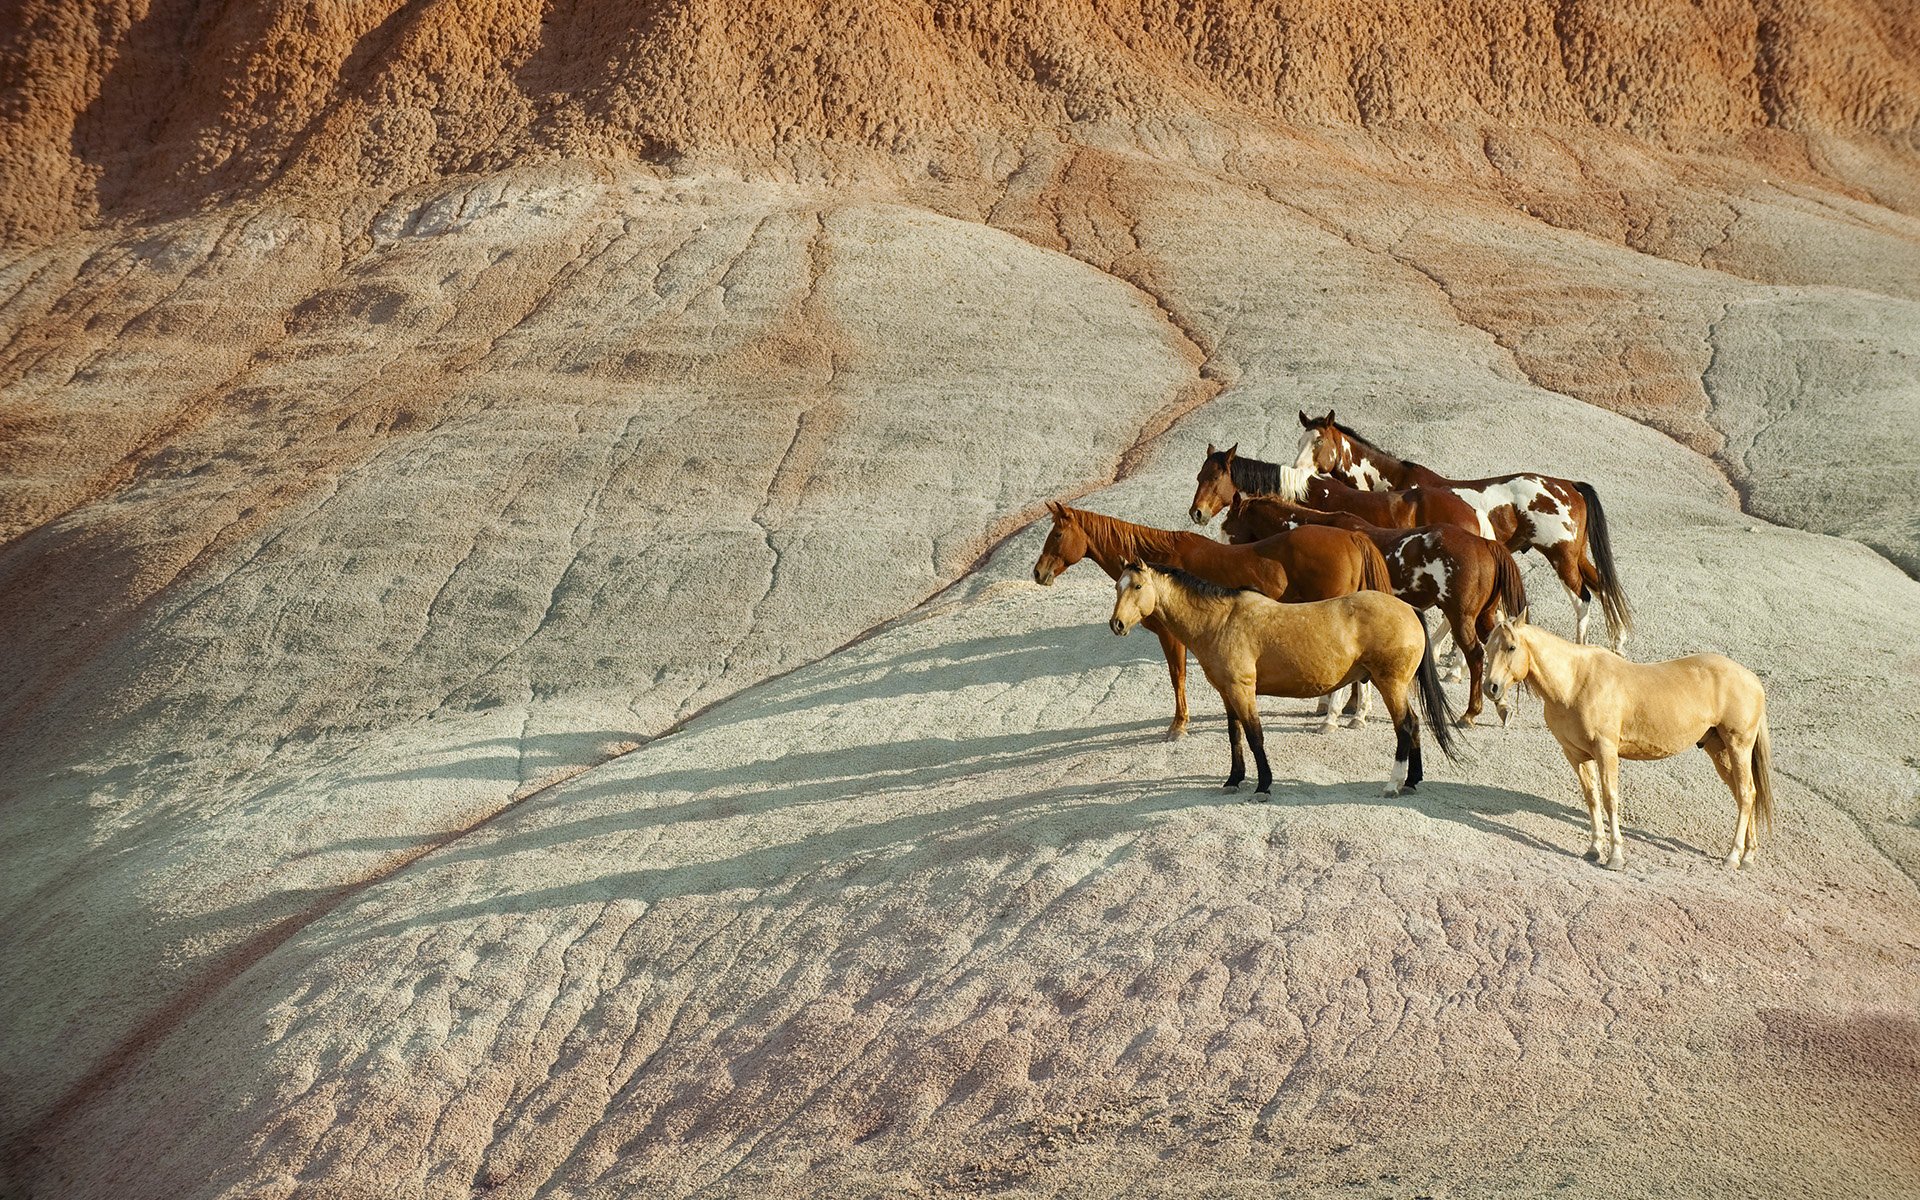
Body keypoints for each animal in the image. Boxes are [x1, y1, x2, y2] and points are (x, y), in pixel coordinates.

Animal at [1031, 502, 1392, 736]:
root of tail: (1351, 537)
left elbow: (1177, 676)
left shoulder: (1172, 636)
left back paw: (1332, 718)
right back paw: (1355, 714)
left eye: (1057, 535)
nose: (1038, 572)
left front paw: (1178, 725)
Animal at [1107, 563, 1459, 796]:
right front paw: (1234, 779)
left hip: (1391, 684)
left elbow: (1254, 736)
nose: (1117, 624)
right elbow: (1235, 736)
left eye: (1137, 587)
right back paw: (1412, 780)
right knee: (1414, 724)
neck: (1221, 620)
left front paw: (1263, 784)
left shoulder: (1243, 691)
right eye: (1116, 587)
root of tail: (1409, 610)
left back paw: (1393, 783)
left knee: (1405, 727)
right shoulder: (1227, 693)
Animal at [1222, 494, 1529, 726]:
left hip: (1461, 616)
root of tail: (1486, 544)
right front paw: (1350, 706)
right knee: (1499, 643)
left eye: (1229, 530)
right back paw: (1499, 702)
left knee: (1475, 655)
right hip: (1483, 617)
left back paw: (1470, 711)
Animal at [1291, 412, 1632, 649]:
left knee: (1583, 598)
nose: (1297, 470)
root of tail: (1569, 485)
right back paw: (1618, 643)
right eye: (1300, 441)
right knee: (1603, 587)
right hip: (1576, 555)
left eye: (1319, 441)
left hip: (1561, 557)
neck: (1397, 486)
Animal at [1480, 611, 1773, 869]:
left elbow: (1610, 798)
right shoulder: (1576, 755)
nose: (1490, 688)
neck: (1575, 682)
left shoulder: (1606, 750)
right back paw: (1748, 856)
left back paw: (1733, 857)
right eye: (1487, 646)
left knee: (1746, 794)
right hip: (1719, 750)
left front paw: (1615, 857)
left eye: (1511, 647)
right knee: (1746, 794)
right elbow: (1592, 798)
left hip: (1738, 746)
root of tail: (1753, 680)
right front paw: (1594, 849)